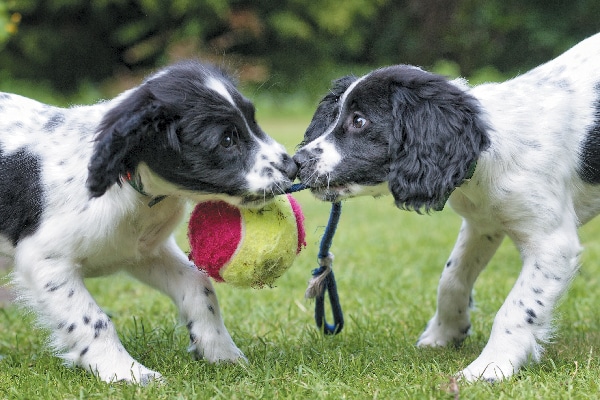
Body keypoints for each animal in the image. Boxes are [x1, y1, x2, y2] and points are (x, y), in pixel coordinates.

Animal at [1, 61, 296, 382]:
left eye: (253, 121)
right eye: (227, 140)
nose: (294, 166)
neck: (129, 185)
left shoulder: (144, 251)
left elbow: (199, 285)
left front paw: (221, 352)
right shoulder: (46, 260)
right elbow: (93, 320)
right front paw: (125, 372)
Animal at [294, 33, 600, 382]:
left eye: (359, 121)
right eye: (333, 116)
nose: (296, 162)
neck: (487, 147)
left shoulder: (551, 244)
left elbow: (518, 307)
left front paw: (490, 366)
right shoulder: (483, 223)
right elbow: (451, 278)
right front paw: (445, 332)